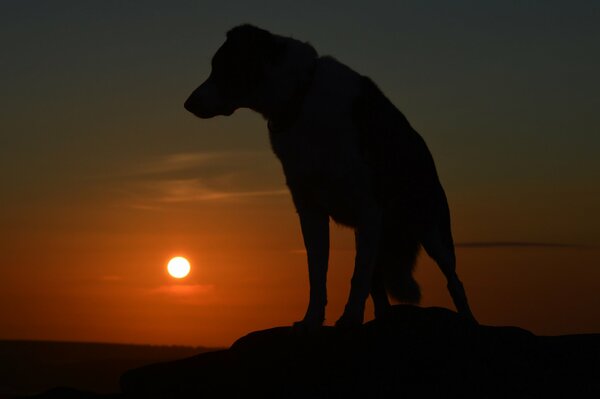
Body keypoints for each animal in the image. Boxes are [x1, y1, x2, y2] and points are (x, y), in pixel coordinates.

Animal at [185, 25, 476, 330]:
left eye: (222, 66)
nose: (187, 103)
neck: (300, 98)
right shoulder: (310, 209)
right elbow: (318, 273)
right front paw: (312, 319)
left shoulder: (368, 206)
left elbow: (357, 276)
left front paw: (349, 318)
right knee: (377, 280)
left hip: (432, 230)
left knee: (453, 281)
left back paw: (468, 318)